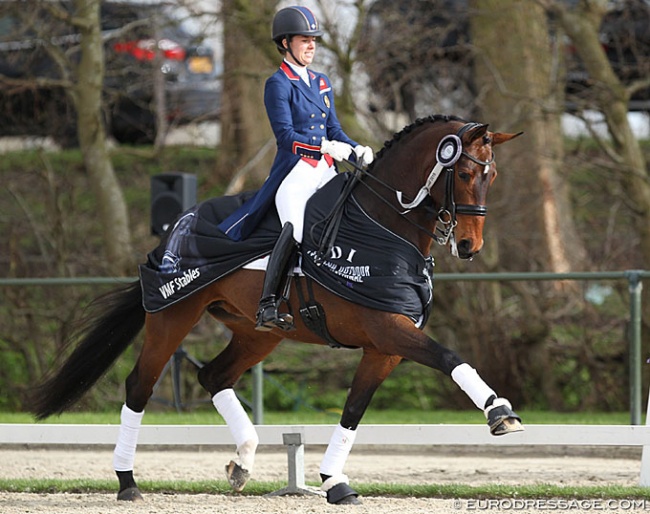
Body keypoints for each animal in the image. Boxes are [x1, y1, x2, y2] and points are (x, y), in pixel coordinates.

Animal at [33, 114, 524, 502]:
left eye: (494, 176)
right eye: (465, 174)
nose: (469, 246)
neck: (383, 226)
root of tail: (177, 225)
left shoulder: (383, 347)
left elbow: (353, 410)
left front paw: (333, 481)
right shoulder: (388, 328)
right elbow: (449, 357)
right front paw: (499, 412)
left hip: (257, 333)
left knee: (214, 376)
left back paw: (243, 463)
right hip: (173, 315)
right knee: (140, 386)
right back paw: (127, 482)